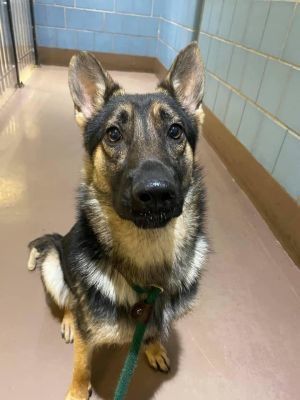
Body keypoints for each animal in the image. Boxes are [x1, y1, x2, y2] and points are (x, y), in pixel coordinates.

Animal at [27, 42, 206, 398]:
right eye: (113, 134)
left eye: (175, 131)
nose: (156, 193)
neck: (148, 257)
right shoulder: (87, 336)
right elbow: (81, 365)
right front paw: (77, 391)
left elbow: (150, 331)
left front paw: (152, 346)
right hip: (54, 263)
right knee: (69, 299)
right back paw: (68, 319)